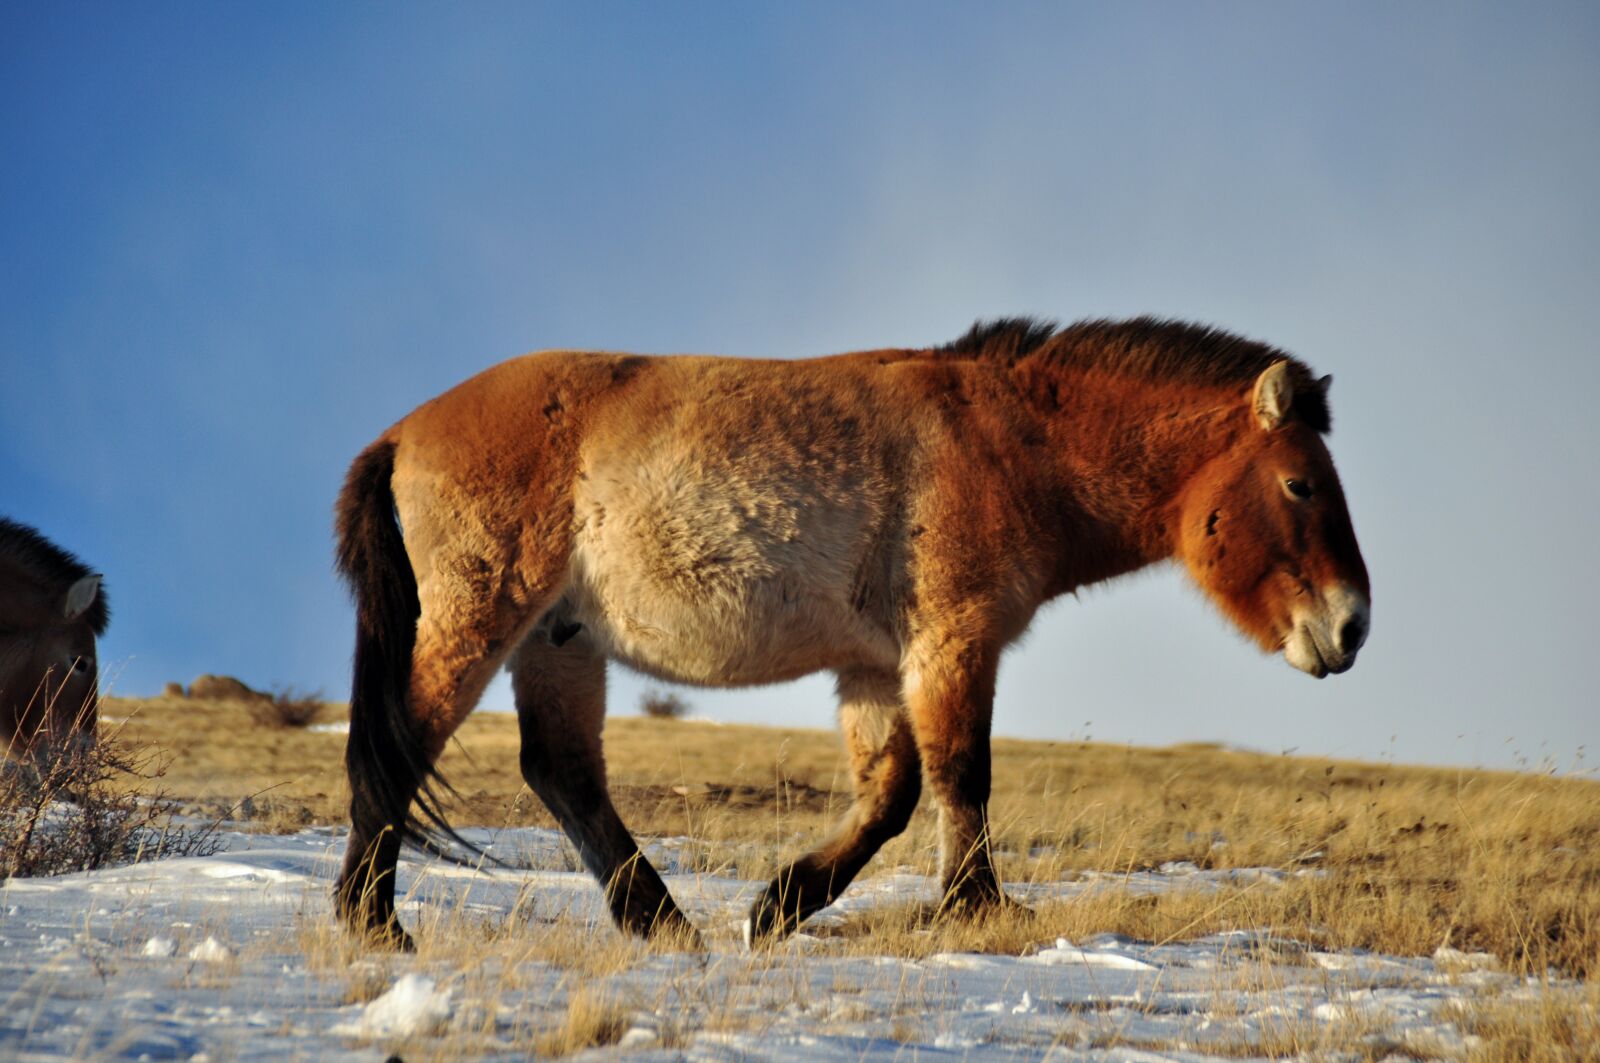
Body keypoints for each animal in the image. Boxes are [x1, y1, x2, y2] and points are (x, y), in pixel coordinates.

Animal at [332, 316, 1370, 949]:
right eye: (1300, 484)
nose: (1352, 625)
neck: (1007, 443)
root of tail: (402, 432)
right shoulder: (953, 643)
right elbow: (962, 775)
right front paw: (975, 911)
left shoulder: (877, 668)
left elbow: (893, 794)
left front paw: (780, 905)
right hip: (482, 622)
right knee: (404, 744)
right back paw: (373, 923)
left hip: (560, 641)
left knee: (563, 773)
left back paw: (665, 925)